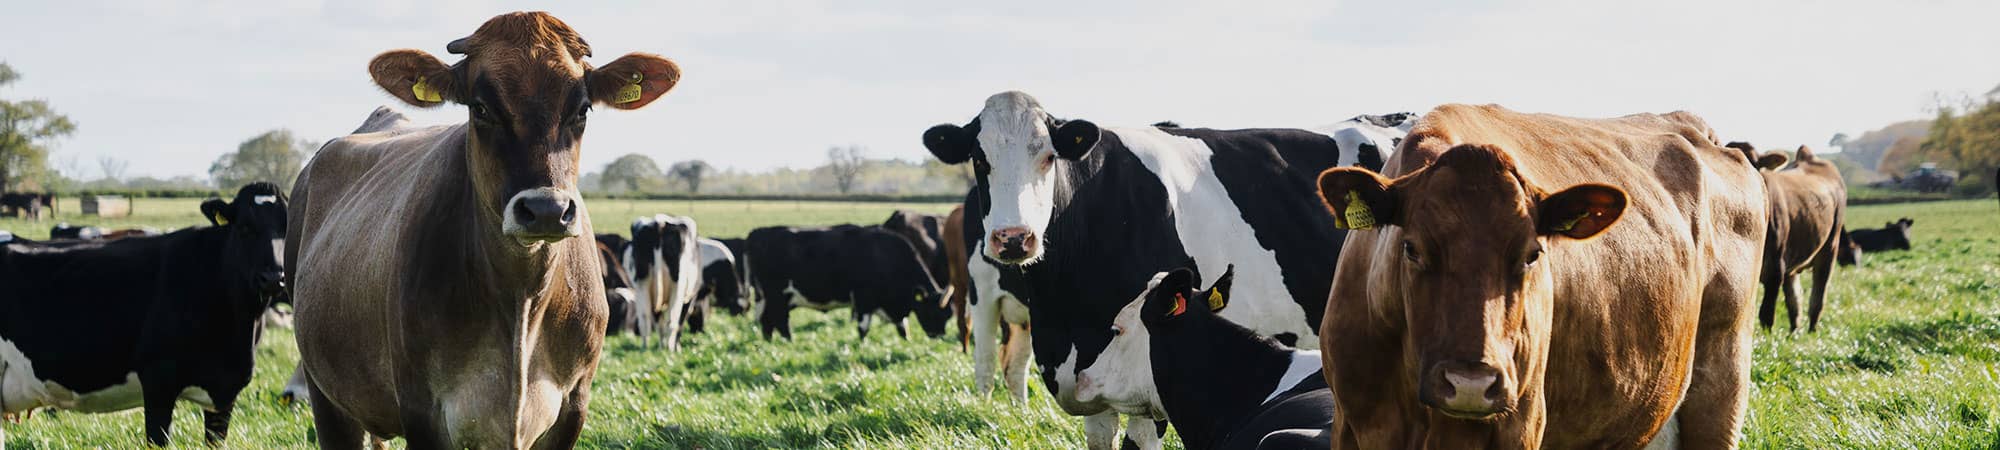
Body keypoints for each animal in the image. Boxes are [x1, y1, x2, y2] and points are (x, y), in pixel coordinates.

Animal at [288, 11, 679, 448]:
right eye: (480, 108)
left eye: (582, 109)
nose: (546, 210)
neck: (522, 299)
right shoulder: (421, 410)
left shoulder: (573, 406)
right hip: (326, 394)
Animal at [625, 215, 702, 350]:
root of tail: (659, 222)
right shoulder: (690, 297)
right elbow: (680, 322)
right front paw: (676, 347)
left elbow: (658, 323)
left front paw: (661, 345)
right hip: (678, 286)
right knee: (672, 321)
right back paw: (670, 349)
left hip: (641, 284)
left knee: (645, 319)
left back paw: (645, 348)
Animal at [745, 225, 944, 340]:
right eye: (931, 312)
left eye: (947, 314)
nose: (939, 336)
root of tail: (758, 232)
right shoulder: (863, 299)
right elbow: (863, 328)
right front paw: (862, 346)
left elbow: (903, 328)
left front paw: (906, 342)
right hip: (777, 296)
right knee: (779, 320)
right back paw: (788, 342)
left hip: (770, 297)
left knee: (767, 321)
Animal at [1314, 104, 1766, 448]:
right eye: (1411, 248)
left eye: (1533, 254)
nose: (1470, 383)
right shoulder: (1349, 425)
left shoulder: (1521, 423)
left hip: (1722, 386)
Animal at [1729, 142, 1847, 333]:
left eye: (1754, 164)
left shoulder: (1775, 268)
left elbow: (1766, 314)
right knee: (1794, 298)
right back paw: (1794, 332)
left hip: (1829, 249)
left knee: (1818, 295)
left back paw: (1812, 330)